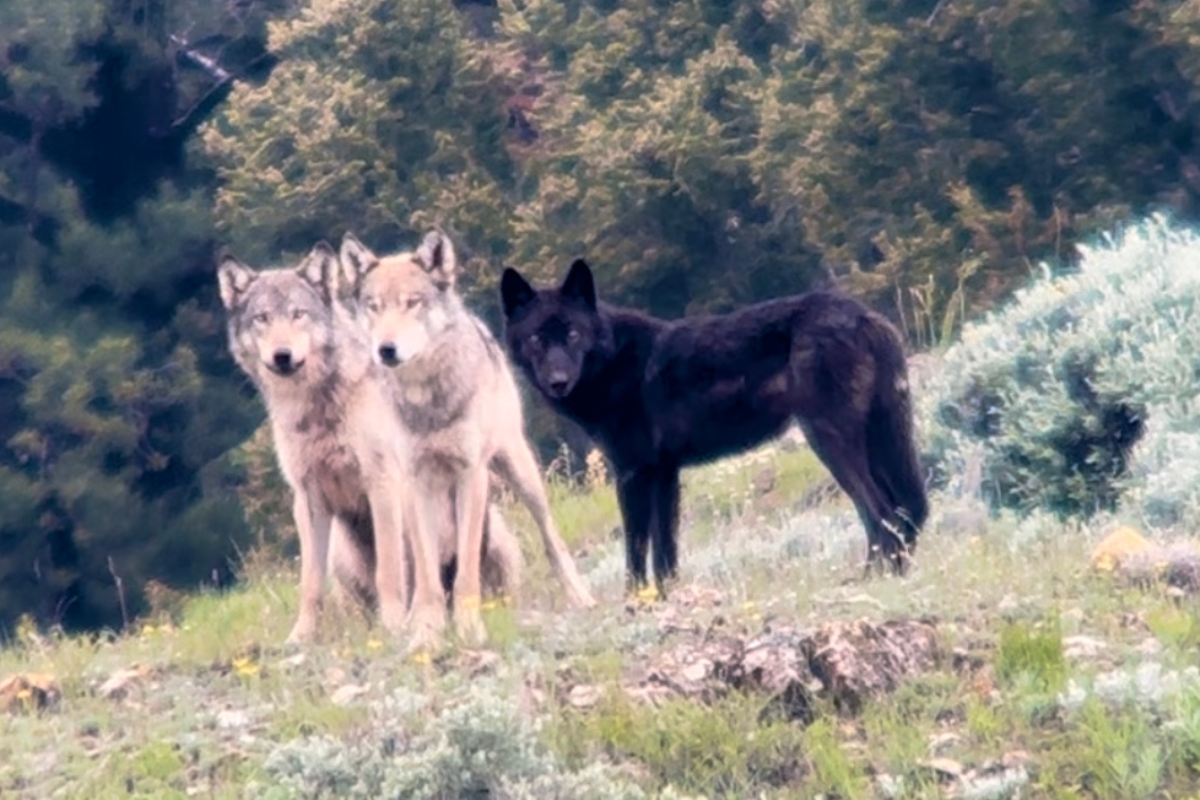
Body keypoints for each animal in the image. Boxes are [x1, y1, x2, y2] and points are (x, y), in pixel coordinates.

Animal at [218, 244, 518, 642]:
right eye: (262, 319)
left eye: (298, 314)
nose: (282, 356)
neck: (319, 406)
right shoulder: (307, 497)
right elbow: (309, 584)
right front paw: (301, 637)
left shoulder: (383, 482)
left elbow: (389, 570)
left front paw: (393, 625)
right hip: (341, 556)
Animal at [338, 227, 595, 647]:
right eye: (374, 307)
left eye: (412, 303)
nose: (385, 350)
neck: (427, 400)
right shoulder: (414, 481)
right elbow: (427, 576)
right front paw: (427, 633)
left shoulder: (471, 474)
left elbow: (467, 572)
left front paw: (469, 628)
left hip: (519, 469)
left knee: (550, 538)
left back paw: (579, 596)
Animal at [496, 261, 926, 594]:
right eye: (536, 339)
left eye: (572, 334)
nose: (557, 381)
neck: (614, 363)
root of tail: (868, 316)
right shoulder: (664, 475)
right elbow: (665, 553)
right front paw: (666, 598)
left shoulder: (632, 475)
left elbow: (635, 552)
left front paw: (634, 605)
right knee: (904, 512)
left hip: (828, 442)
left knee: (882, 512)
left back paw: (869, 580)